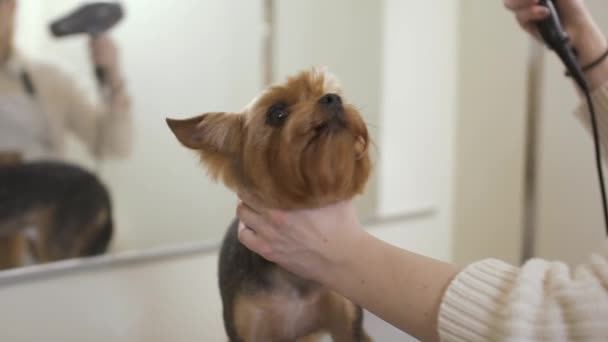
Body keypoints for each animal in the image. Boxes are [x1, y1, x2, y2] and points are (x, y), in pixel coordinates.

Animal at [169, 67, 372, 342]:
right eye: (276, 113)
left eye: (329, 92)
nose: (333, 99)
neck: (293, 275)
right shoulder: (248, 328)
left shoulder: (348, 325)